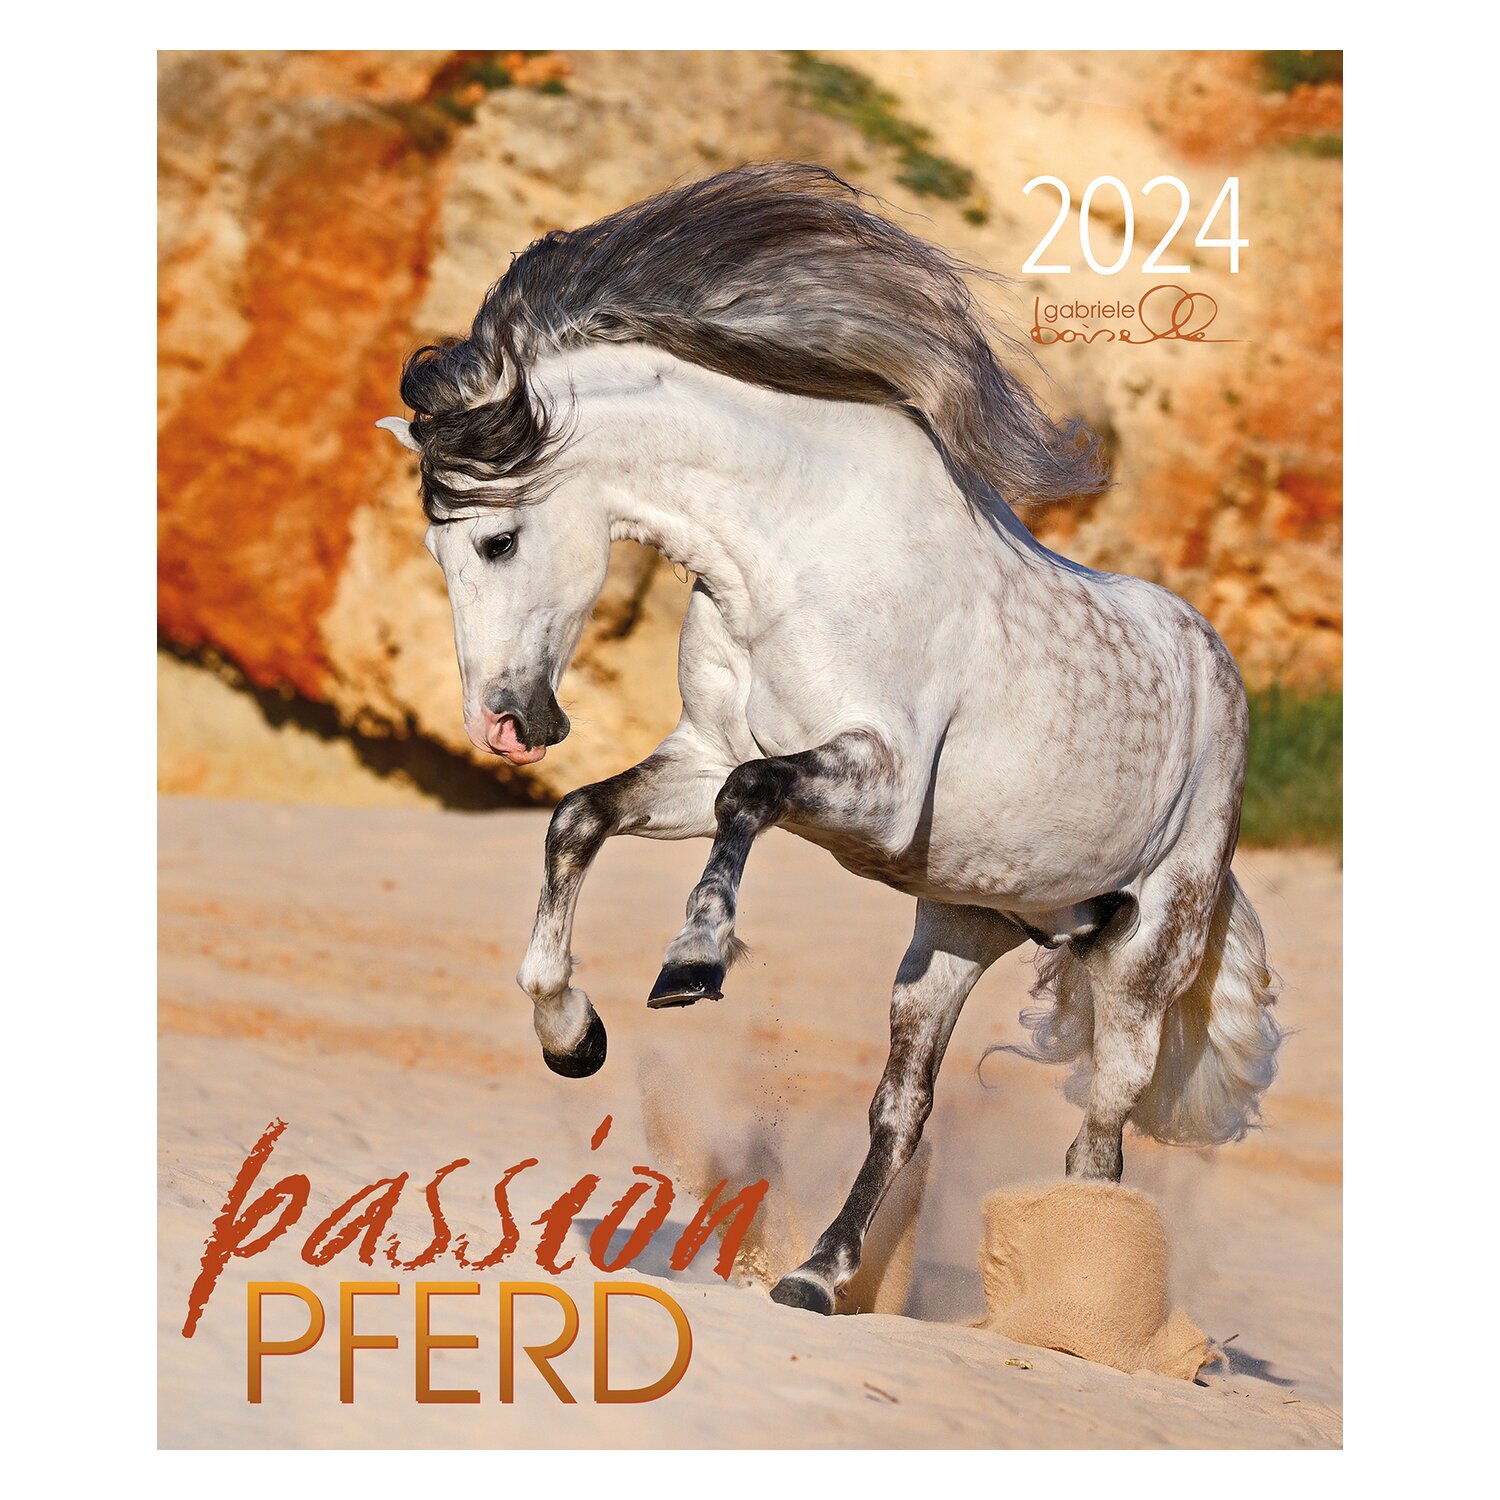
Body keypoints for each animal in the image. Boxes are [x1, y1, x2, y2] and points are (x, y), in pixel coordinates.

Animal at [376, 162, 1281, 1316]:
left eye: (496, 540)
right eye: (438, 550)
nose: (503, 724)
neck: (795, 551)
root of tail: (1217, 670)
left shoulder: (876, 786)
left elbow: (751, 797)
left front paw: (691, 961)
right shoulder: (700, 756)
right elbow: (580, 818)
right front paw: (571, 1035)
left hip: (1147, 948)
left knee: (1102, 1136)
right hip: (956, 930)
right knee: (905, 1107)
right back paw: (817, 1274)